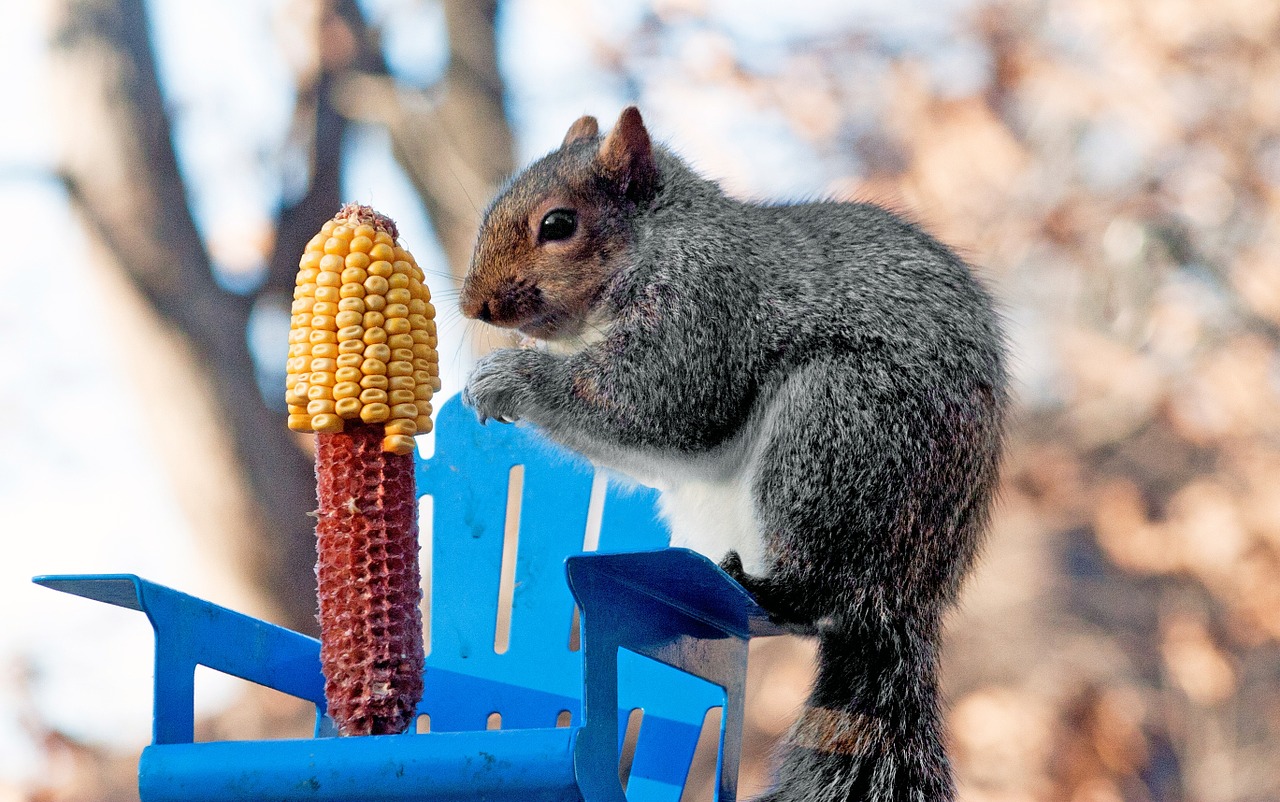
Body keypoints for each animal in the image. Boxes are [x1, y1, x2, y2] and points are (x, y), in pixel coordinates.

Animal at [460, 108, 1008, 802]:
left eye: (558, 224)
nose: (474, 304)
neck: (661, 240)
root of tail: (911, 597)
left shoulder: (704, 311)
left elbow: (656, 401)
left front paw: (509, 377)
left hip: (833, 433)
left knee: (820, 593)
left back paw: (772, 586)